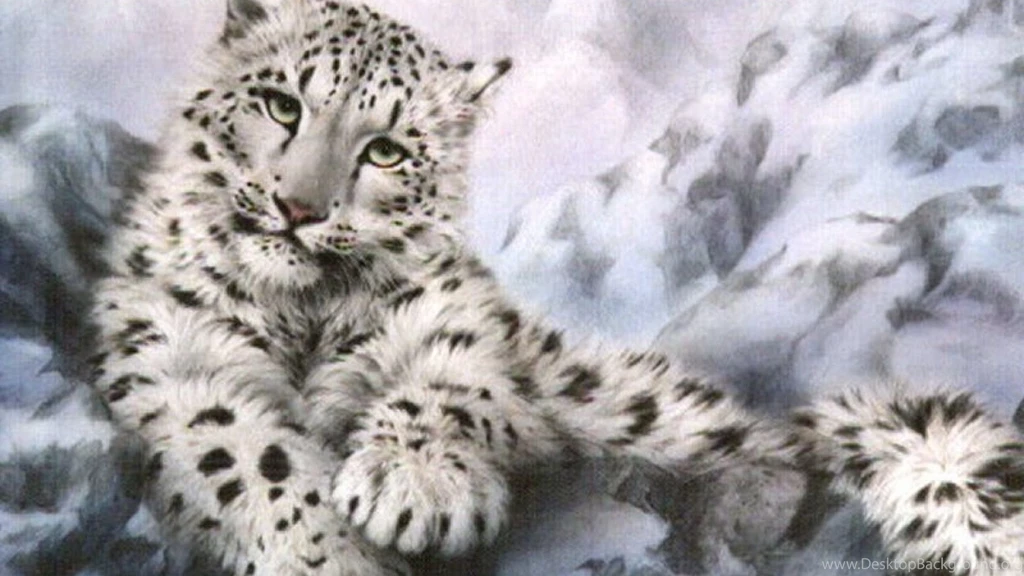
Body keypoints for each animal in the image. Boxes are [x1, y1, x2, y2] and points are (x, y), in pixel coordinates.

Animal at [87, 0, 1024, 574]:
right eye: (282, 104)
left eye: (385, 149)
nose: (298, 208)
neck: (306, 315)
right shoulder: (177, 368)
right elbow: (253, 453)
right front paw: (334, 551)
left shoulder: (461, 332)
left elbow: (444, 388)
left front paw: (414, 486)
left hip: (624, 398)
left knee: (767, 440)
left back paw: (742, 504)